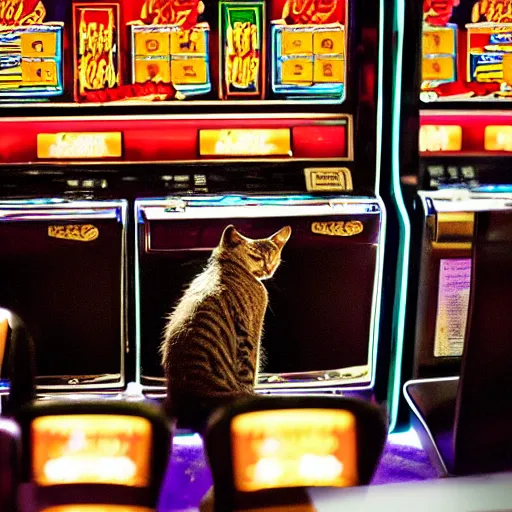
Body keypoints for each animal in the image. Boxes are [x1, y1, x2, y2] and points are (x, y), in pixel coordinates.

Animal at [162, 224, 290, 428]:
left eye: (274, 257)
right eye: (257, 257)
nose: (268, 267)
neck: (222, 266)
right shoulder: (251, 334)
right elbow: (250, 371)